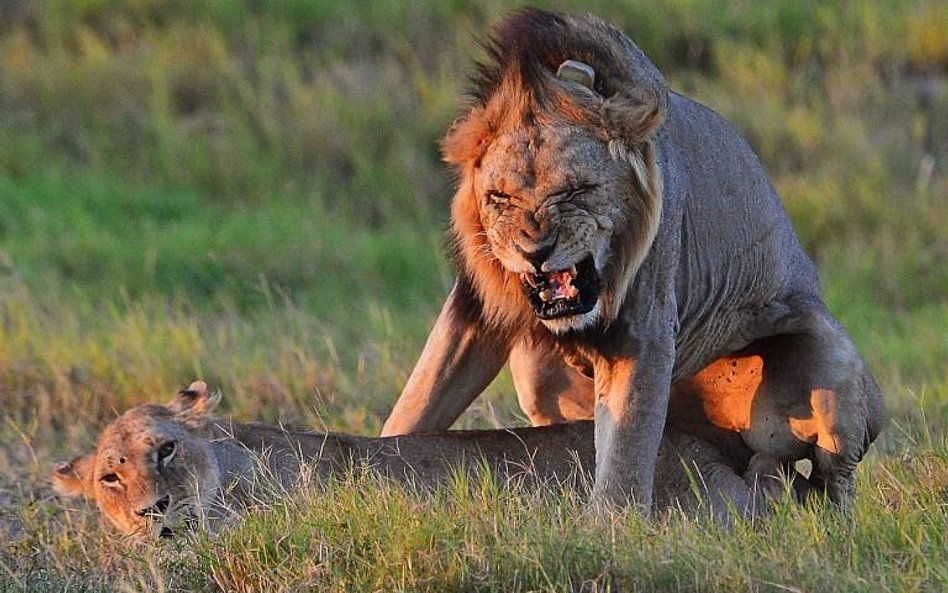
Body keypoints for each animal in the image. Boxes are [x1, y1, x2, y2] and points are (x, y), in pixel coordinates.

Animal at [382, 9, 884, 508]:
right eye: (499, 198)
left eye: (576, 190)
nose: (534, 251)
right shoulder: (474, 306)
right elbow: (420, 397)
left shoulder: (645, 327)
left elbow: (625, 455)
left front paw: (611, 524)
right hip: (540, 372)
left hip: (835, 367)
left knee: (829, 486)